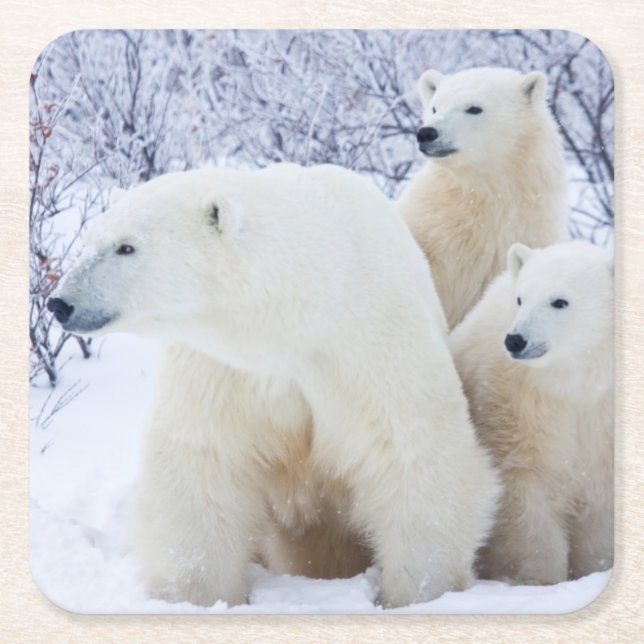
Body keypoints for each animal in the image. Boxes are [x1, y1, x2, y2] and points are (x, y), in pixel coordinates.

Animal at [47, 163, 500, 608]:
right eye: (89, 239)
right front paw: (198, 596)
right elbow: (202, 461)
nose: (59, 303)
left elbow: (411, 454)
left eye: (127, 247)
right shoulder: (222, 369)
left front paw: (420, 593)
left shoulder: (368, 346)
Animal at [448, 240, 613, 585]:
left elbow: (599, 510)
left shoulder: (602, 424)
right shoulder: (513, 404)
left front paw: (593, 570)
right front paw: (540, 580)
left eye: (560, 301)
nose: (515, 340)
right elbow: (523, 491)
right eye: (520, 298)